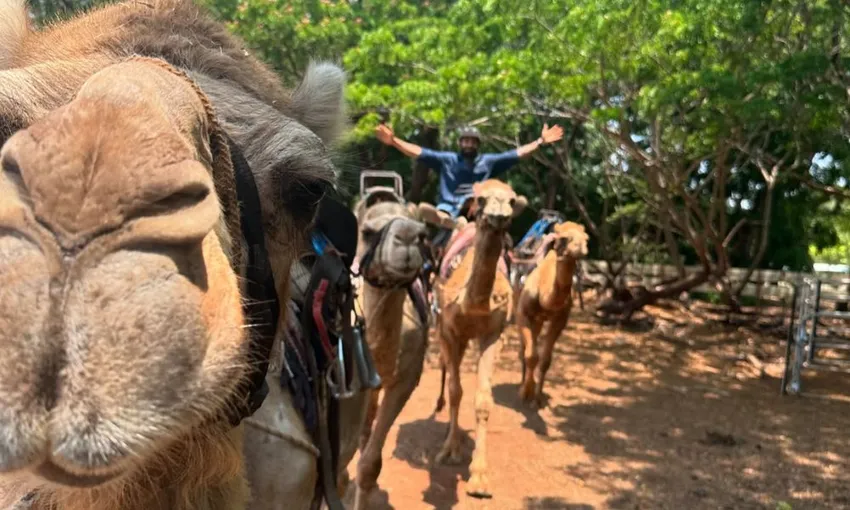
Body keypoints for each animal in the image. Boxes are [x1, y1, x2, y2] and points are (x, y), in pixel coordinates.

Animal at [431, 179, 526, 498]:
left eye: (512, 201)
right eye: (481, 199)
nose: (498, 216)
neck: (472, 305)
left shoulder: (492, 333)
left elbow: (483, 400)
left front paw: (480, 478)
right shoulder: (450, 331)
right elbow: (455, 391)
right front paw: (450, 451)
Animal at [514, 221, 589, 408]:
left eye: (586, 238)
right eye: (564, 238)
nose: (582, 247)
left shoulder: (560, 319)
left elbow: (545, 360)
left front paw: (537, 398)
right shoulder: (523, 313)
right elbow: (531, 355)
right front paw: (525, 393)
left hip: (539, 320)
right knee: (523, 349)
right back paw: (522, 383)